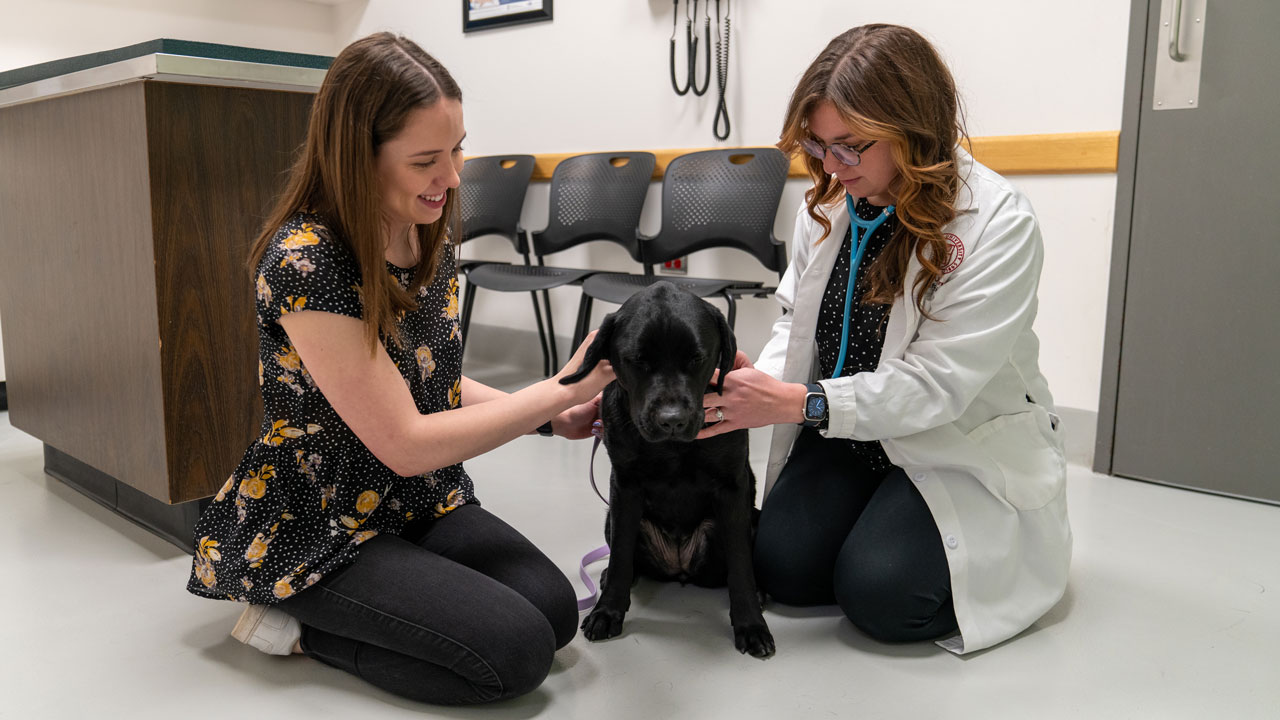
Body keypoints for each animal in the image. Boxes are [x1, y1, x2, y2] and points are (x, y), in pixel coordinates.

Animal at [558, 279, 768, 655]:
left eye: (697, 358)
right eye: (638, 360)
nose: (672, 420)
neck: (671, 449)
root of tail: (679, 568)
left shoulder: (733, 488)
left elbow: (740, 563)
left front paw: (751, 624)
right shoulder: (624, 488)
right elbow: (621, 554)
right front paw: (607, 611)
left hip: (751, 518)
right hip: (611, 517)